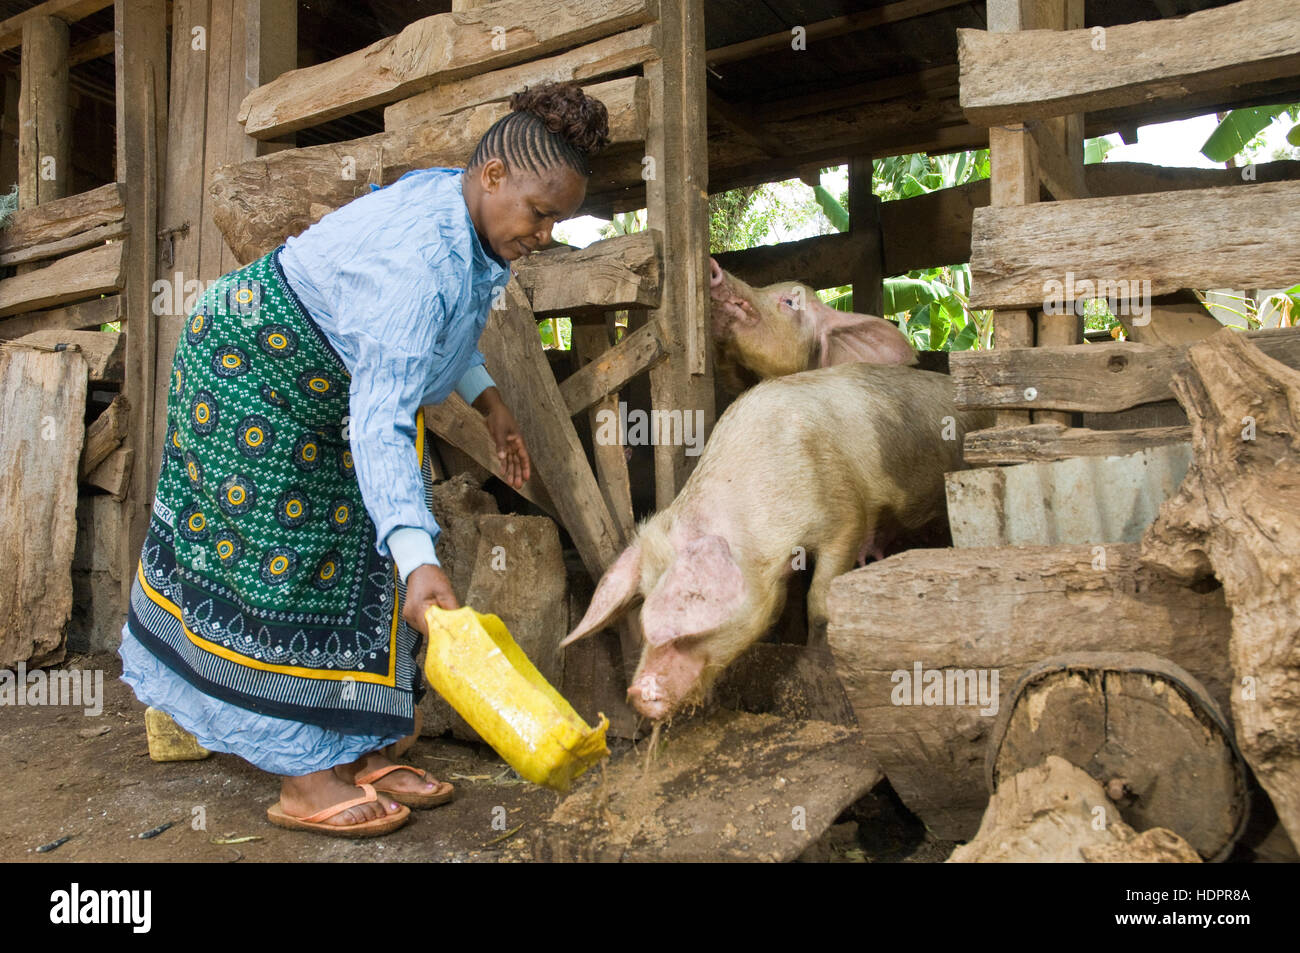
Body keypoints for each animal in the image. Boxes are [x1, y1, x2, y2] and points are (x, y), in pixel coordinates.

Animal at [561, 361, 993, 717]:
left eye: (682, 631)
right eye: (644, 601)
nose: (635, 694)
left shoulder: (845, 515)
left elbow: (819, 601)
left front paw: (817, 658)